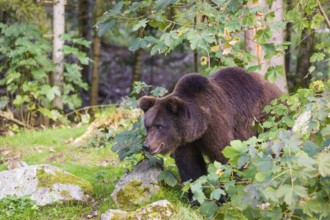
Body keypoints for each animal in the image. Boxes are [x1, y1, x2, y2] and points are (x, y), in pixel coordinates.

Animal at [139, 67, 282, 186]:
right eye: (148, 126)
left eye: (159, 126)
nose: (147, 145)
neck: (200, 126)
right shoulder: (184, 142)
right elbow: (190, 166)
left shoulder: (215, 127)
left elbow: (225, 156)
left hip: (267, 116)